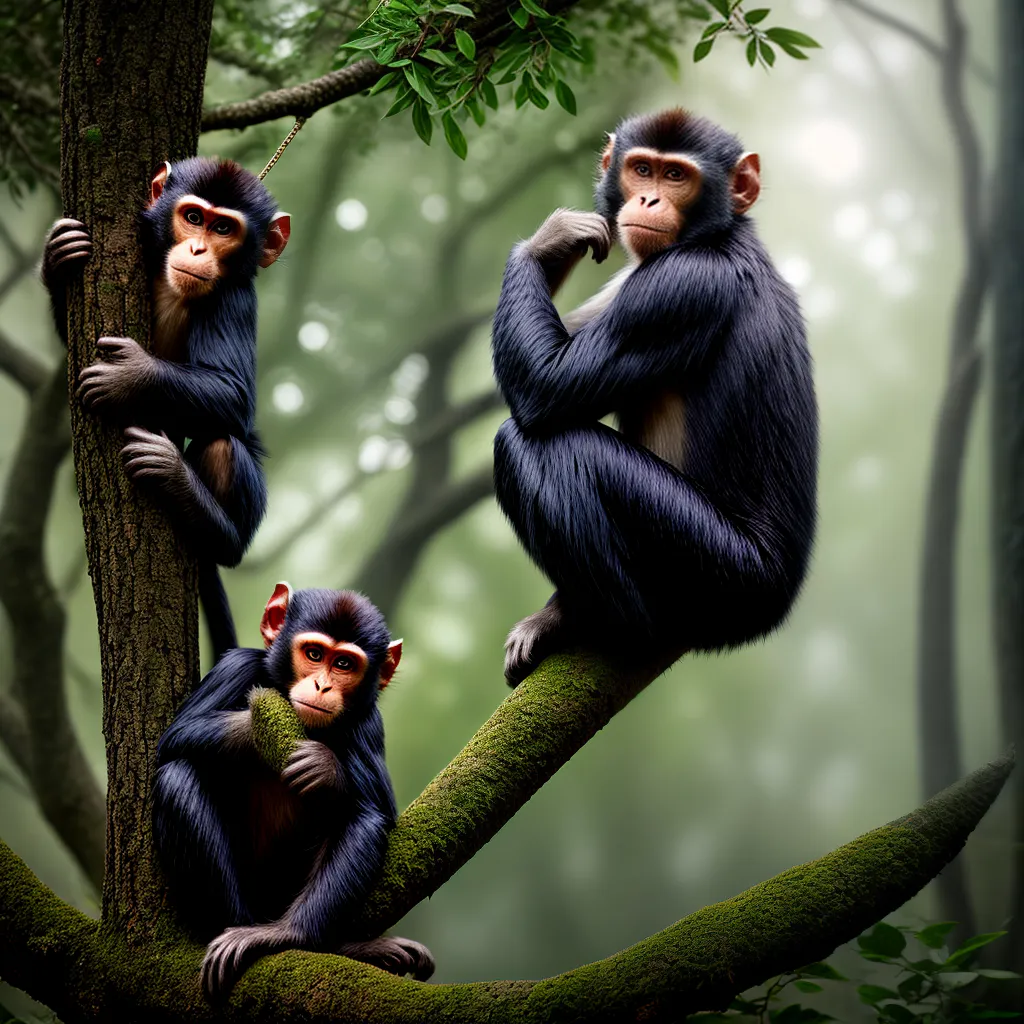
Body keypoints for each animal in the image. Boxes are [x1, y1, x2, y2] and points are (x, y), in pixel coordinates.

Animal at [41, 158, 290, 659]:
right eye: (193, 217)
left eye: (223, 228)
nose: (197, 247)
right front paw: (57, 257)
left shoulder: (235, 297)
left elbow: (234, 393)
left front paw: (131, 375)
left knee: (223, 448)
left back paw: (183, 486)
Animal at [152, 583, 434, 997]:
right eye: (314, 654)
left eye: (344, 664)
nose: (322, 685)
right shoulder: (236, 667)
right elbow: (175, 738)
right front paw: (261, 728)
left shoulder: (370, 723)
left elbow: (377, 812)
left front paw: (325, 767)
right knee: (176, 776)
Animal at [491, 109, 818, 684]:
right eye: (642, 169)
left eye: (676, 176)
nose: (647, 199)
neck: (718, 235)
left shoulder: (679, 287)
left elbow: (545, 384)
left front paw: (546, 241)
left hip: (717, 572)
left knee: (546, 443)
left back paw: (590, 619)